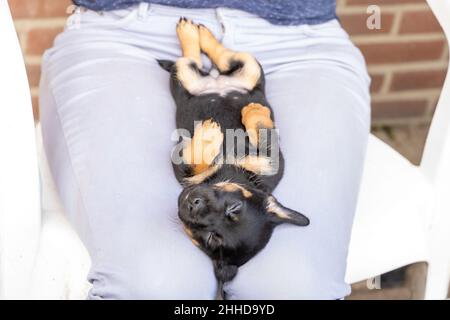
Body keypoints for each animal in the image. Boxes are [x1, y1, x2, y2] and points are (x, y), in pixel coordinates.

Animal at [158, 17, 310, 284]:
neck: (227, 172)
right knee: (218, 57)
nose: (193, 204)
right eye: (234, 208)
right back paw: (193, 30)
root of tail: (217, 82)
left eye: (211, 237)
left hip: (192, 76)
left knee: (198, 60)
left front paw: (210, 134)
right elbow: (265, 134)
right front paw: (250, 115)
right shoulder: (273, 160)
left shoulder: (183, 168)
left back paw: (192, 33)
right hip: (247, 68)